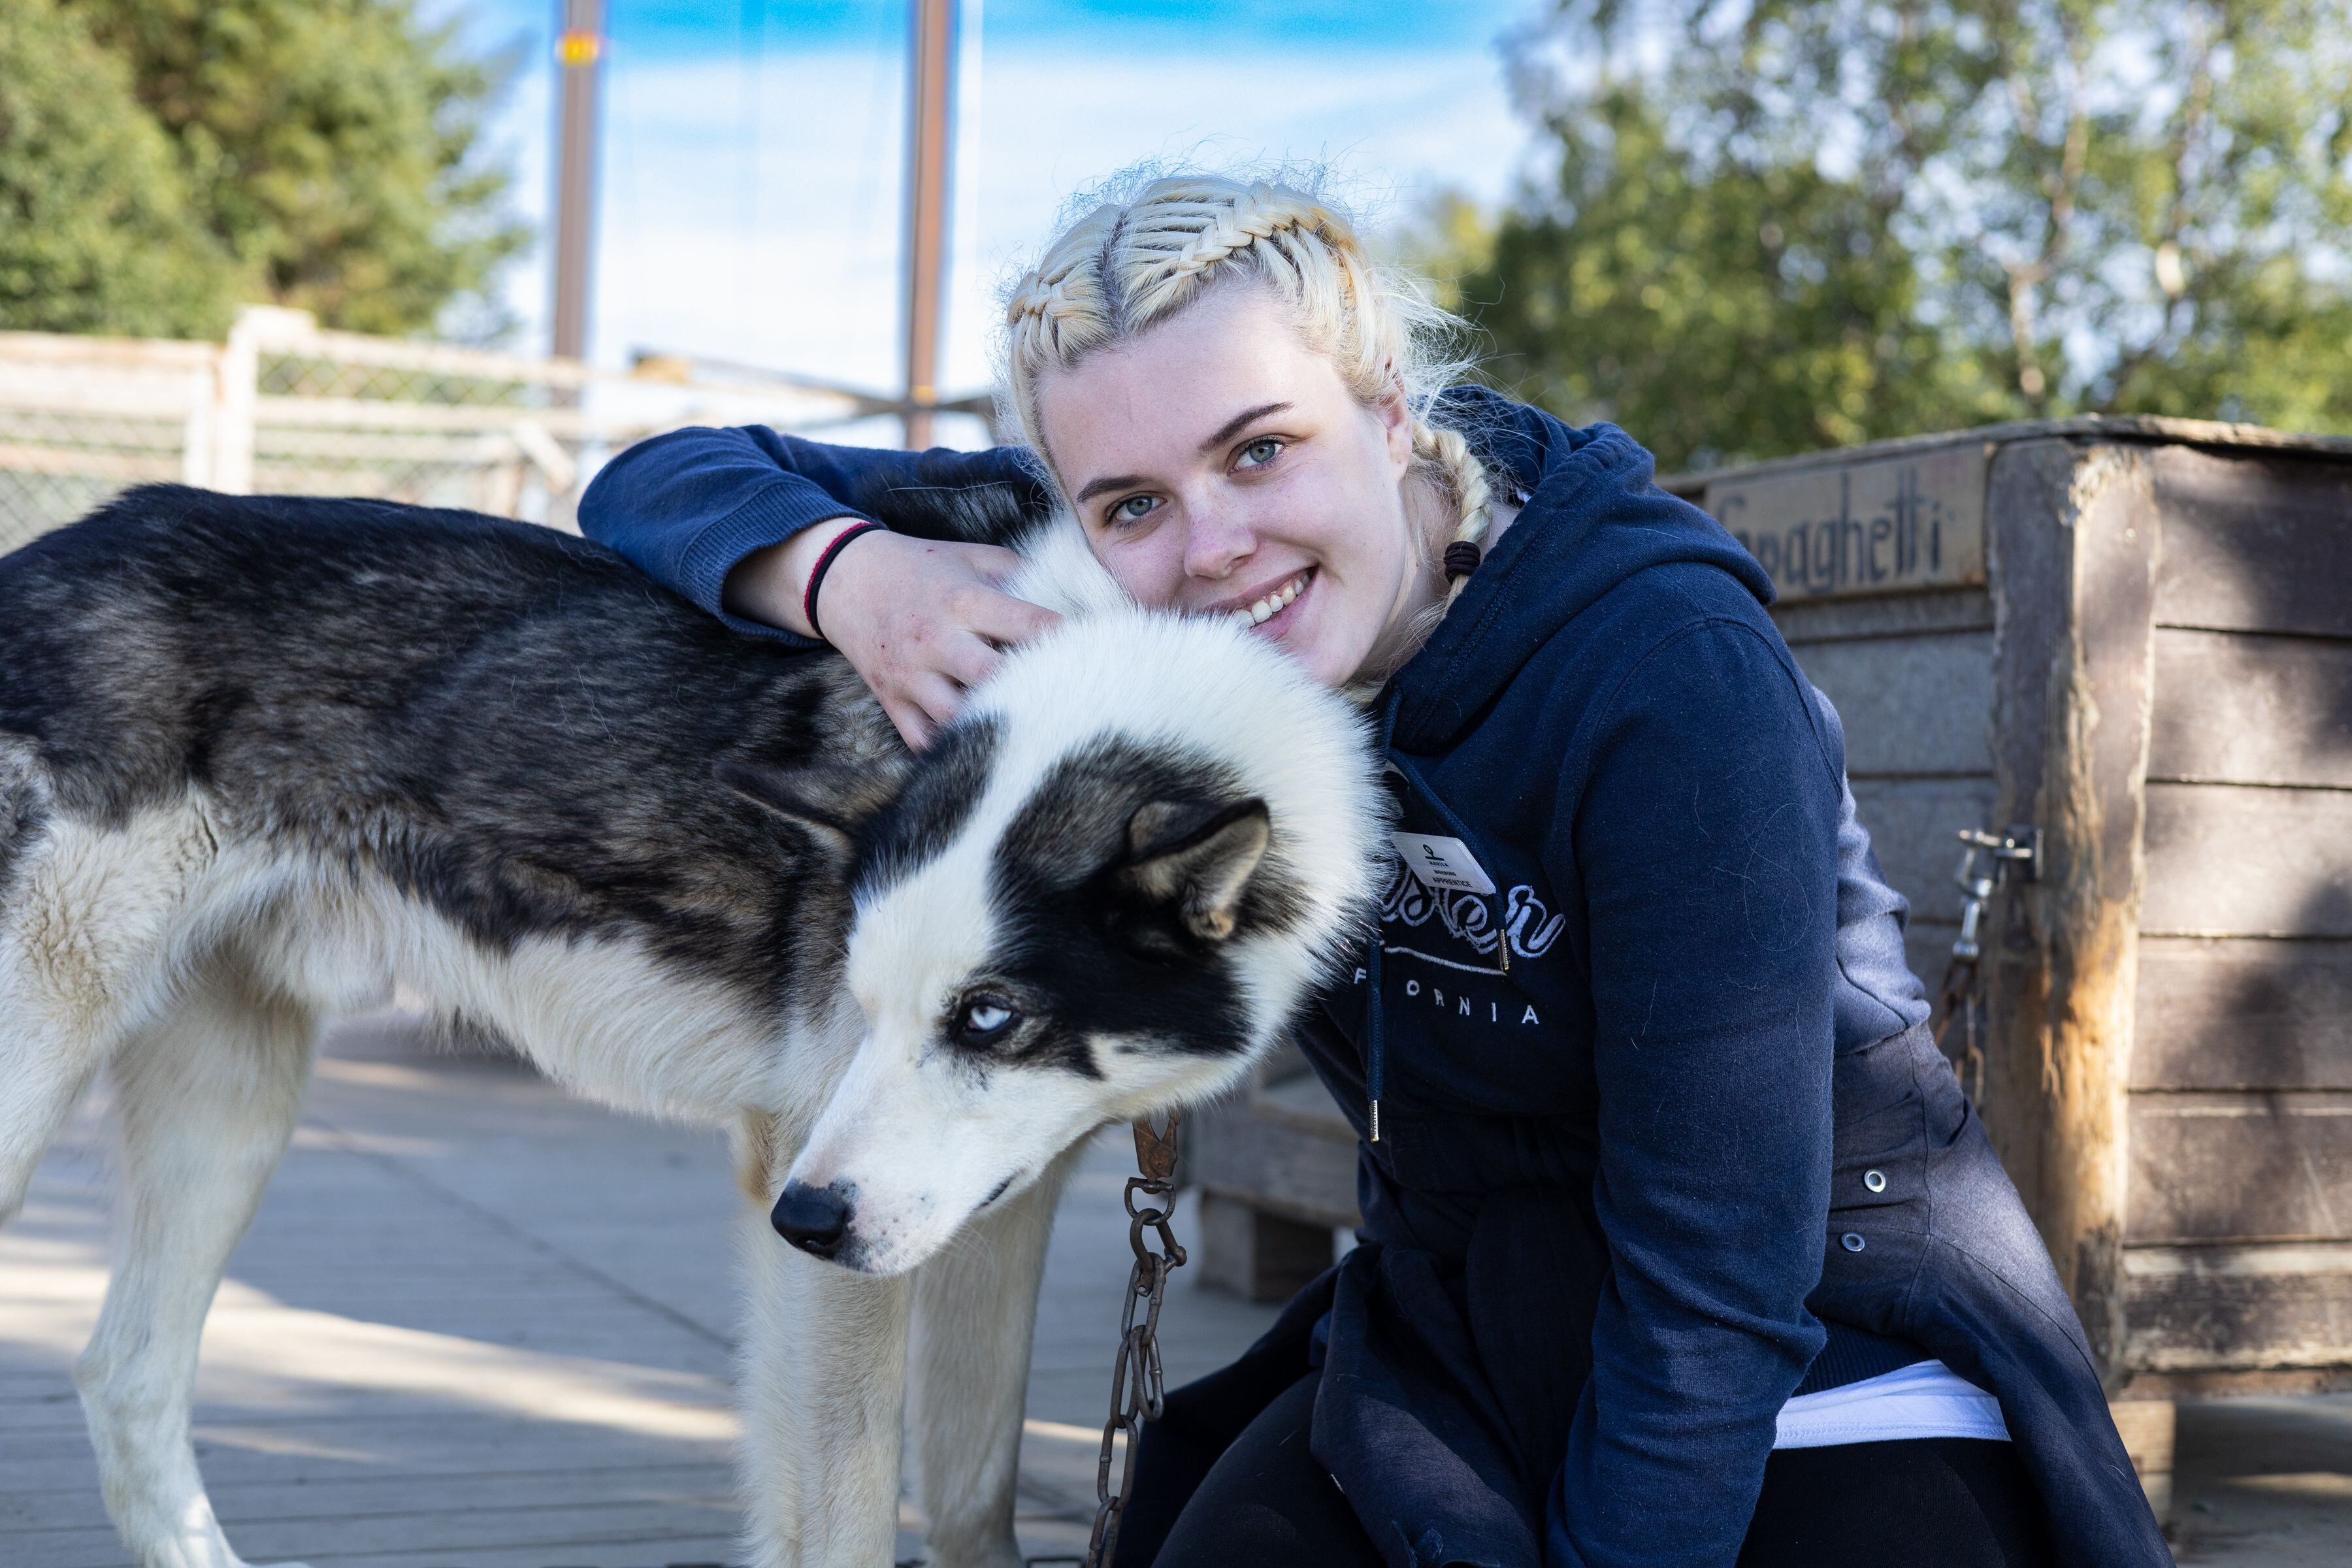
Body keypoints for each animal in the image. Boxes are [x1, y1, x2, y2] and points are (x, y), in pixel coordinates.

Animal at [0, 486, 1373, 1568]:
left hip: (230, 1110)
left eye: (992, 1020)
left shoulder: (983, 1216)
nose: (804, 1219)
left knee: (125, 1377)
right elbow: (846, 1525)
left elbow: (967, 1505)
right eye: (869, 1001)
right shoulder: (815, 1204)